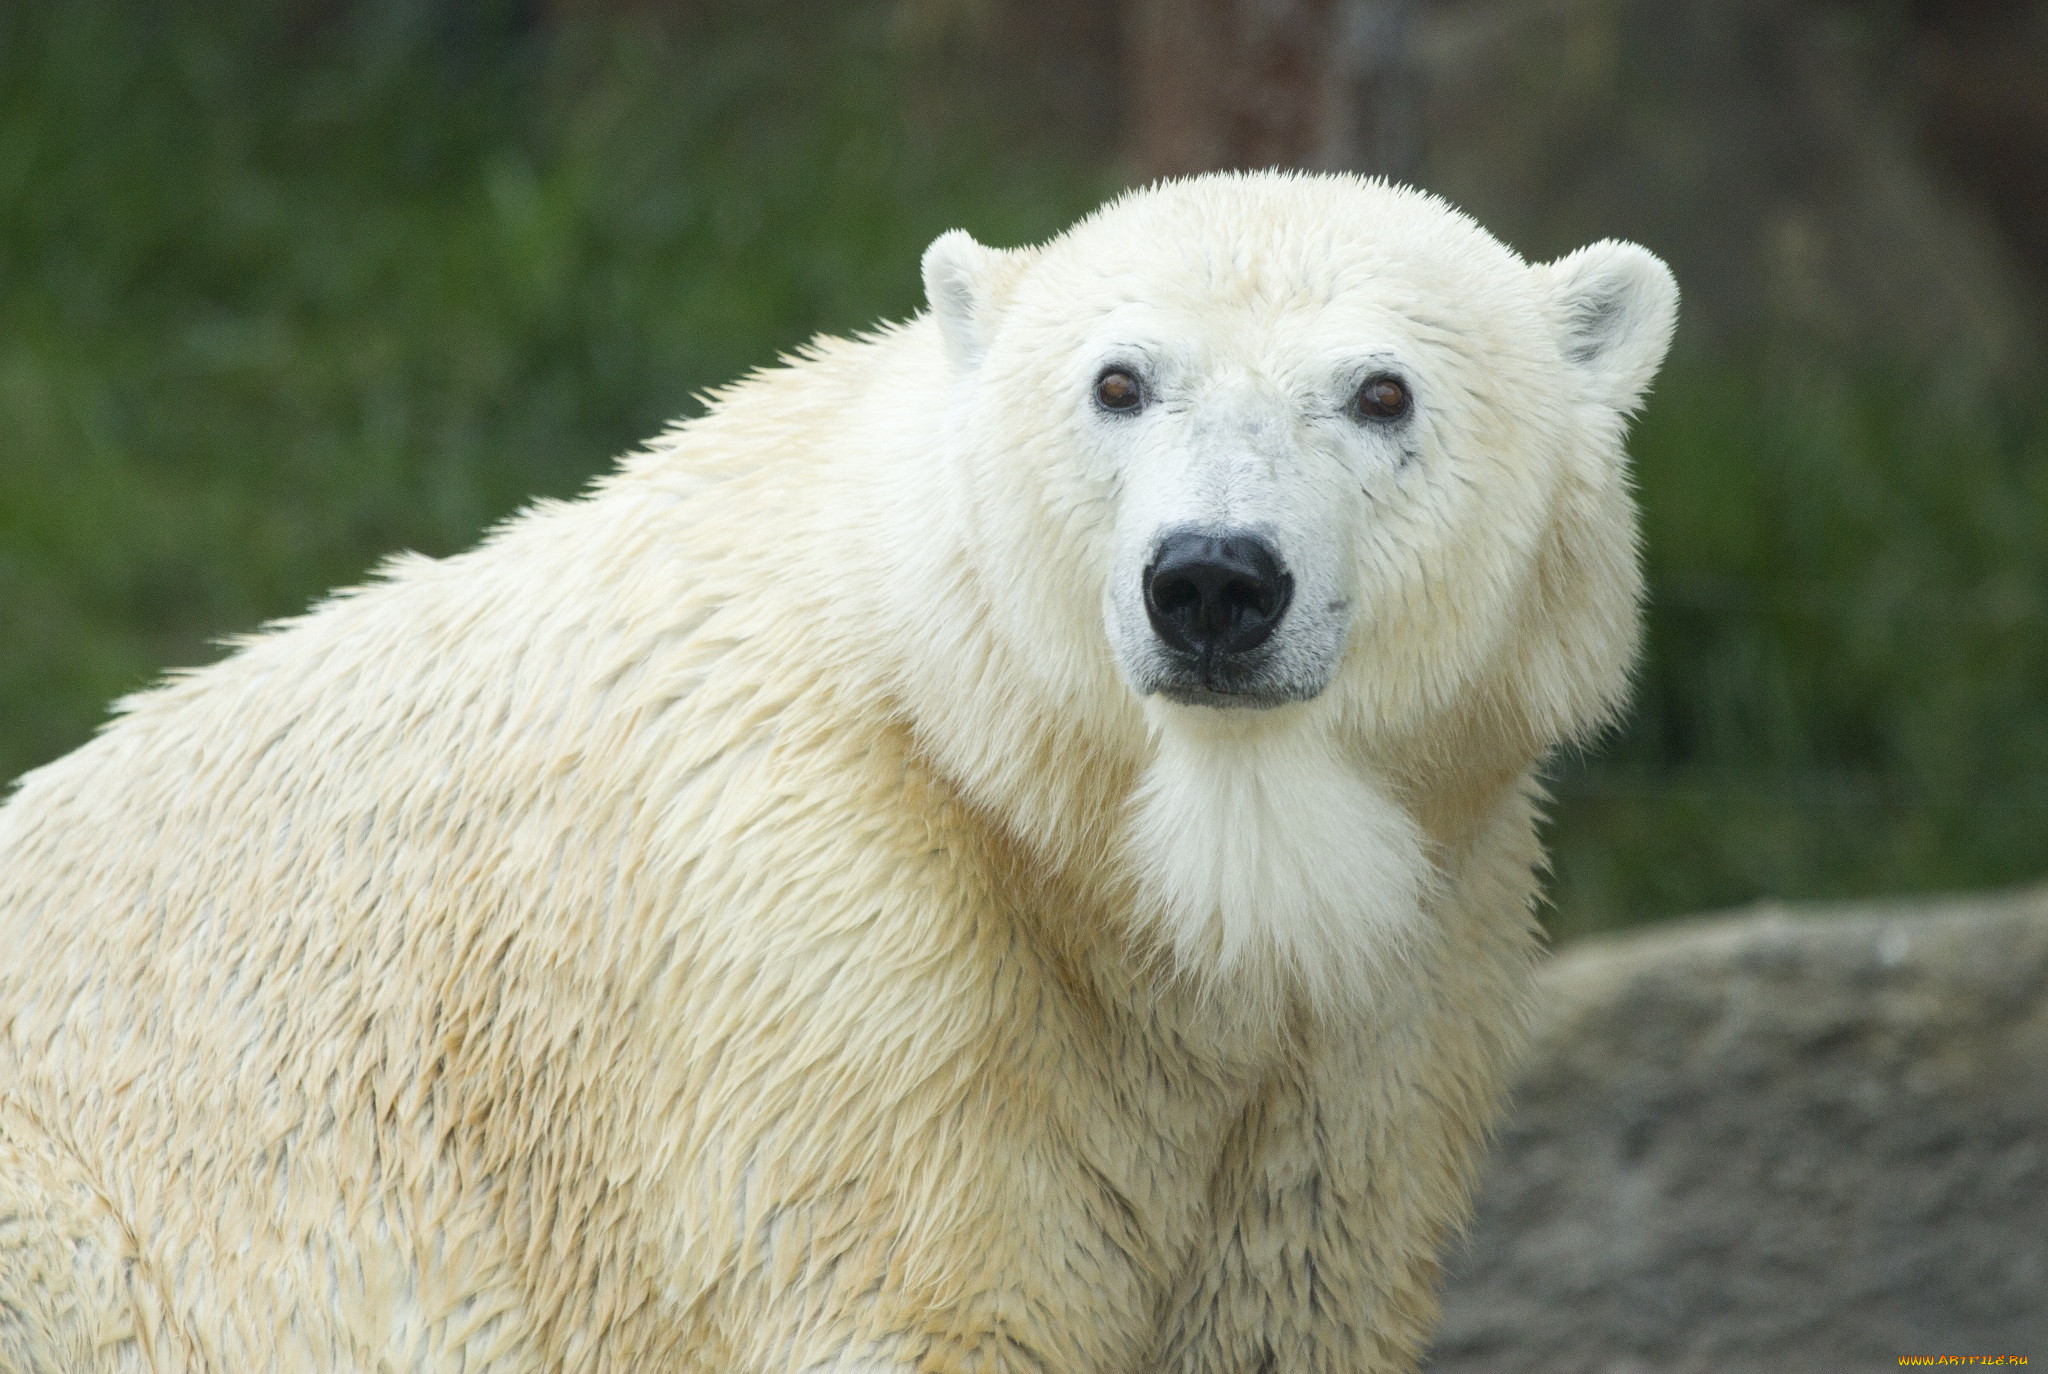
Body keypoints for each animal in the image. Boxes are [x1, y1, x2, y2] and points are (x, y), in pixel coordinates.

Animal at [0, 175, 1662, 1374]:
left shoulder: (1402, 962)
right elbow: (918, 1292)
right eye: (1120, 381)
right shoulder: (828, 939)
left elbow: (1283, 1294)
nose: (1212, 580)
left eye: (1384, 391)